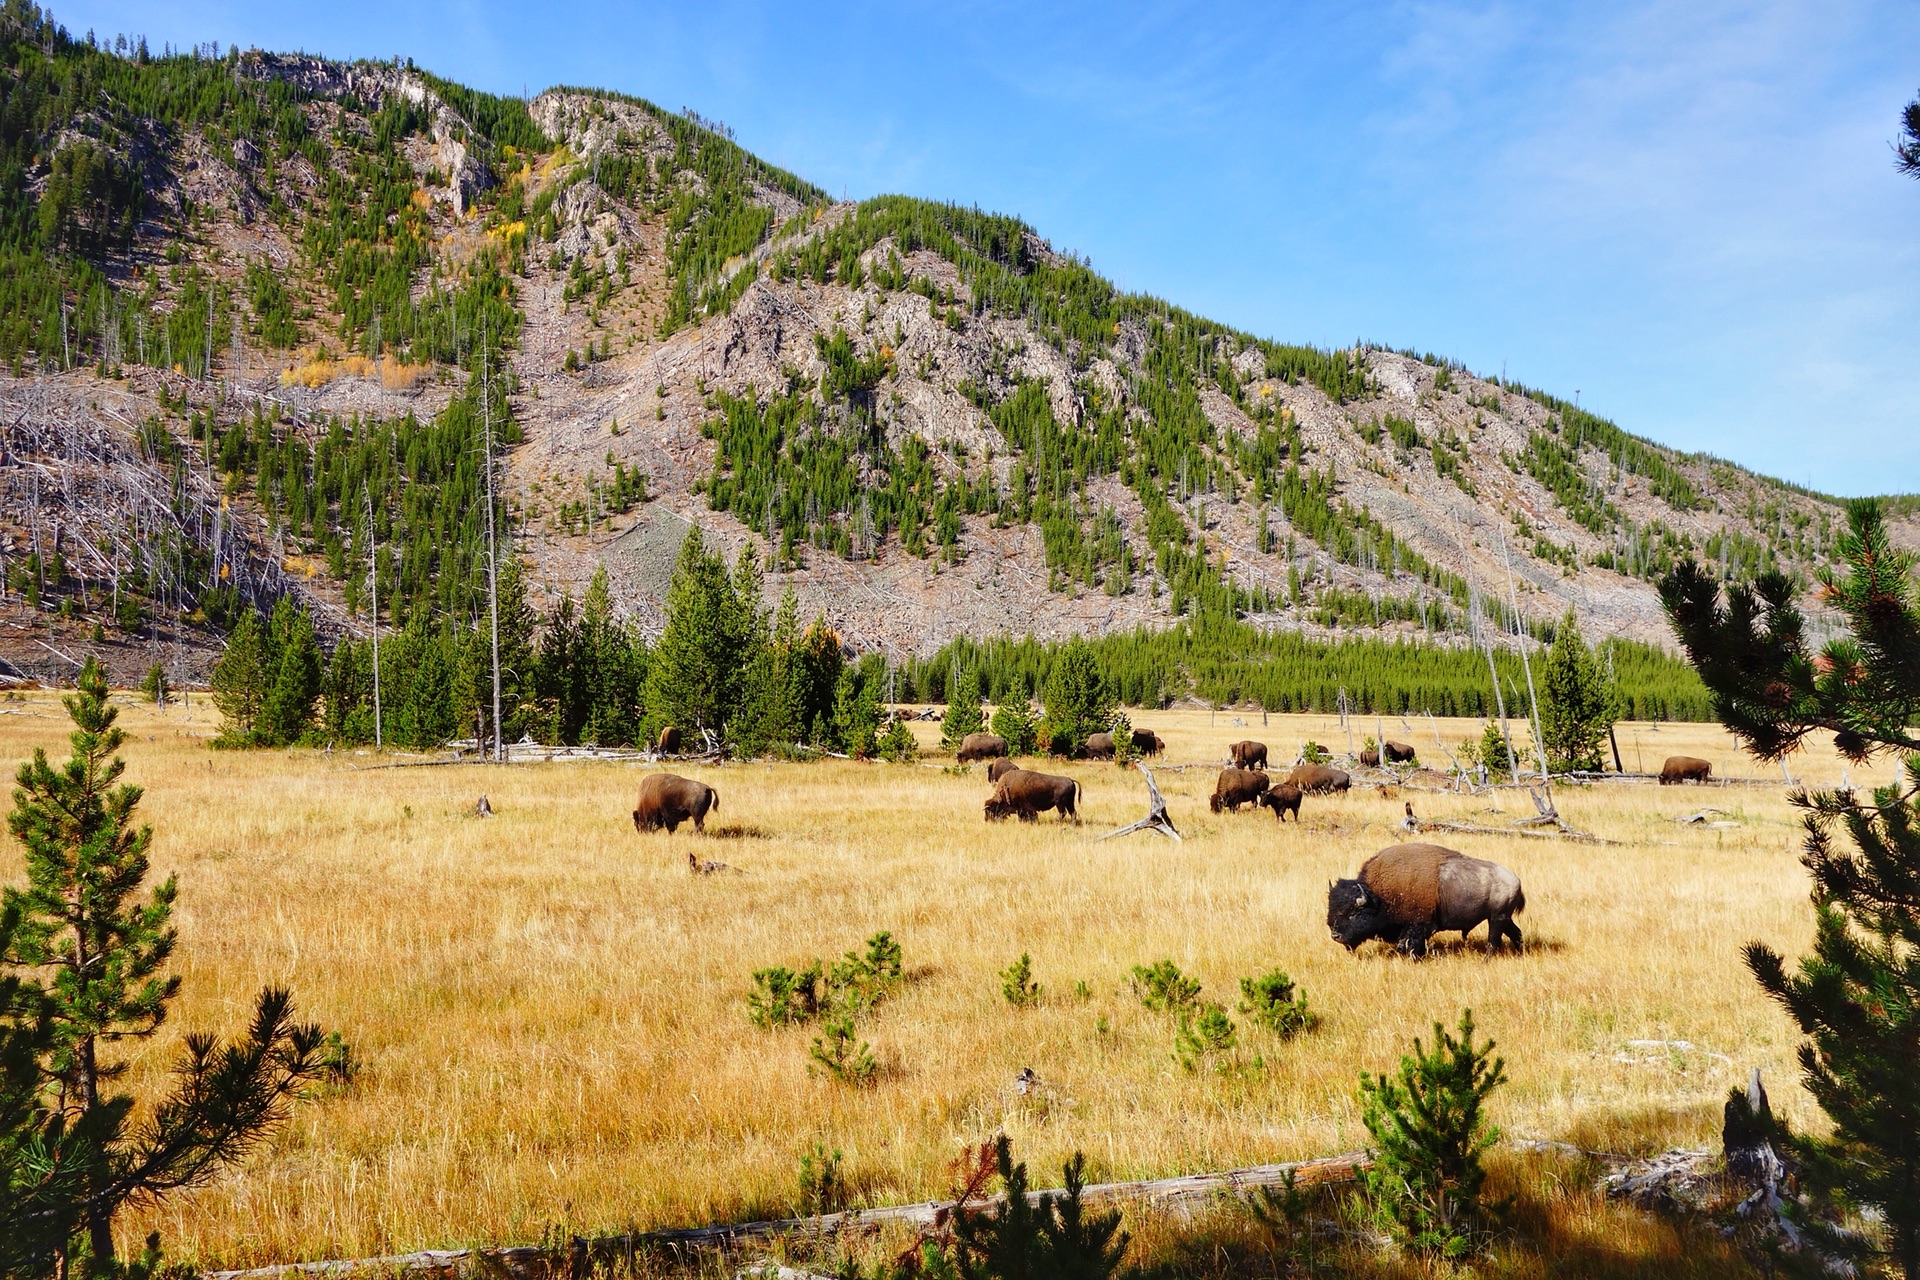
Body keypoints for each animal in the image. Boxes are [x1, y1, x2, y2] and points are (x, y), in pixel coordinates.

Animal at [1328, 844, 1520, 955]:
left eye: (1353, 913)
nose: (1335, 936)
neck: (1379, 897)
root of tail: (1515, 879)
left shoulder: (1419, 925)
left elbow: (1408, 944)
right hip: (1503, 918)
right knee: (1515, 933)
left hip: (1497, 918)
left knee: (1493, 941)